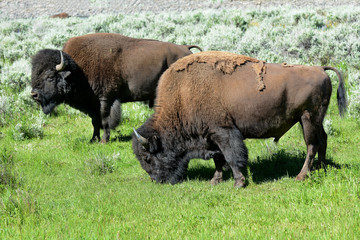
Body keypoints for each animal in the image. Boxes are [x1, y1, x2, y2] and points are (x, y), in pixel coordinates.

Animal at [31, 33, 202, 142]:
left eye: (50, 76)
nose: (34, 95)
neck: (77, 69)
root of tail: (186, 49)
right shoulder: (93, 104)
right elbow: (95, 121)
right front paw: (93, 139)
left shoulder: (105, 99)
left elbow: (105, 120)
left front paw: (104, 140)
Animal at [134, 51, 348, 188]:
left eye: (147, 157)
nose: (157, 181)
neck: (183, 94)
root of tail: (320, 69)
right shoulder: (212, 136)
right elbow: (218, 159)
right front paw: (215, 180)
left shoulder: (223, 132)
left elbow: (231, 156)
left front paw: (239, 182)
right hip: (313, 120)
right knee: (323, 140)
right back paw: (321, 169)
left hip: (308, 118)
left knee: (312, 145)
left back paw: (301, 176)